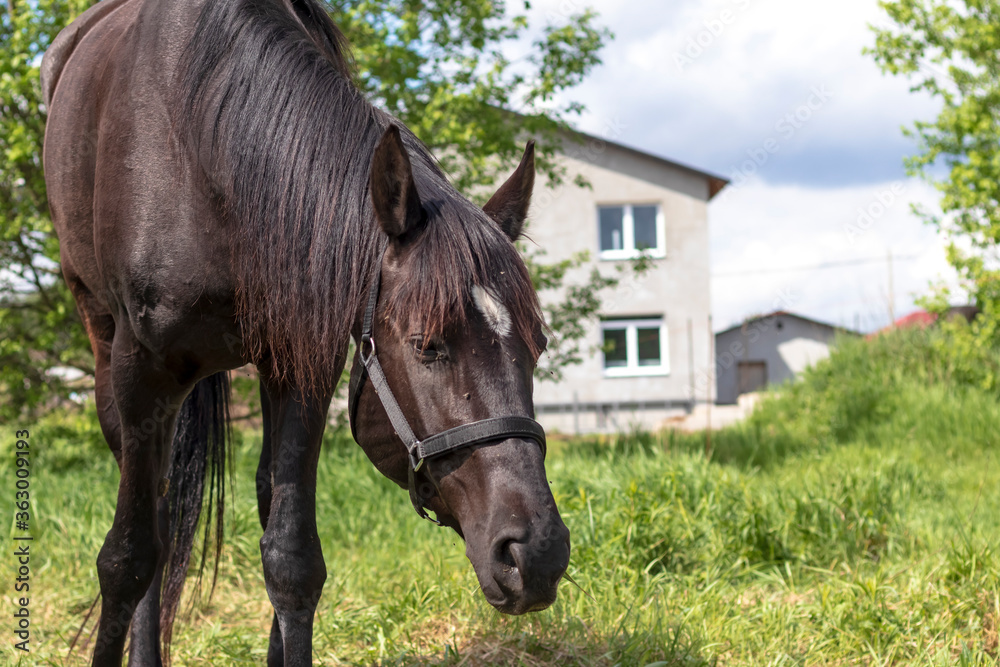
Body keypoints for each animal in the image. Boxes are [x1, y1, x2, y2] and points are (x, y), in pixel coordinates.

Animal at [40, 0, 570, 664]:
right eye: (425, 345)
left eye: (537, 348)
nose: (538, 555)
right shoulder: (141, 372)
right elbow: (126, 558)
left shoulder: (302, 366)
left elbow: (291, 558)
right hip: (104, 348)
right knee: (153, 517)